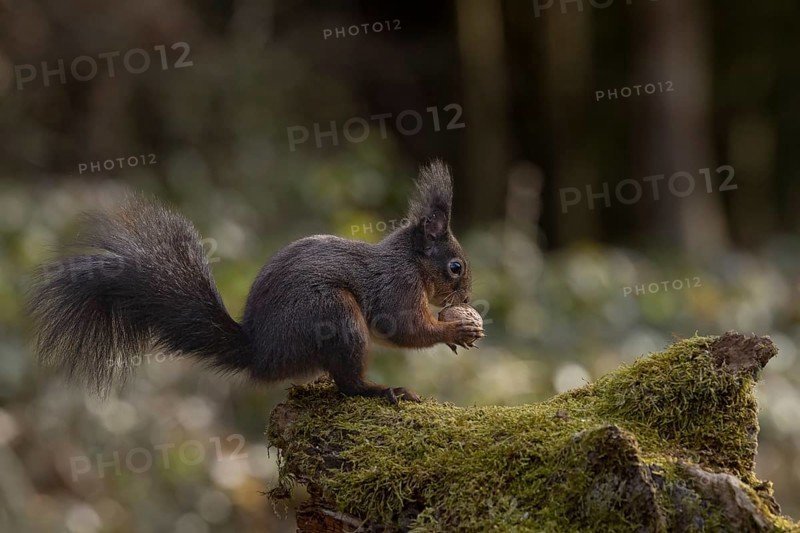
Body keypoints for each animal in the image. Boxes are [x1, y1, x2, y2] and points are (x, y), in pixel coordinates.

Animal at [28, 160, 483, 404]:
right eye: (455, 267)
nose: (467, 295)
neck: (411, 261)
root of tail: (261, 352)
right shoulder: (396, 286)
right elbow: (403, 327)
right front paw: (454, 330)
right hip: (335, 314)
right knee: (348, 384)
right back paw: (383, 390)